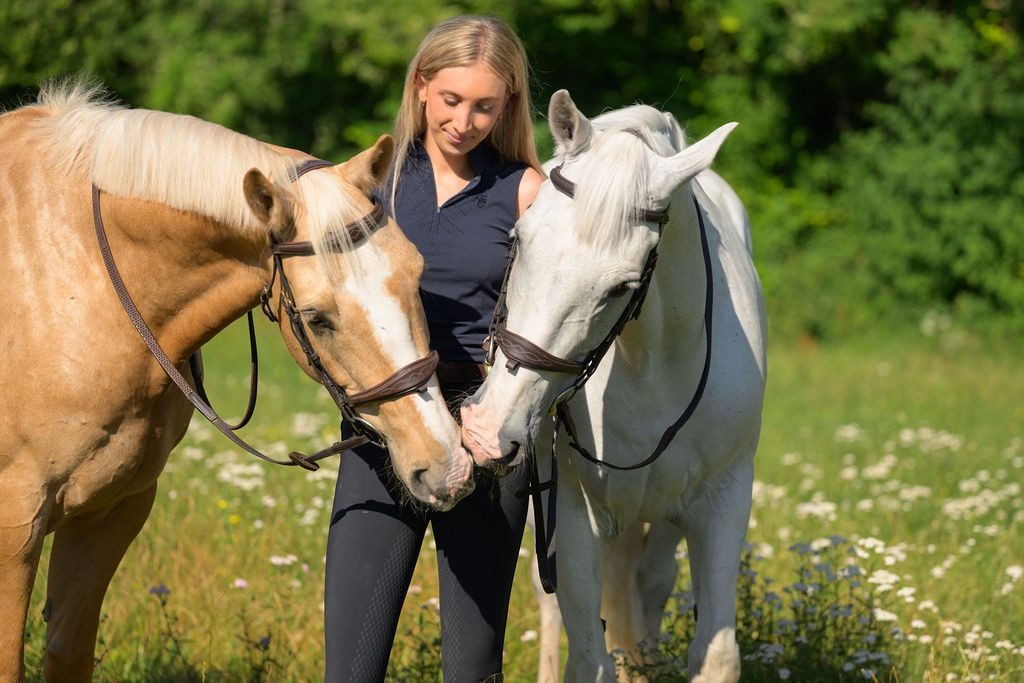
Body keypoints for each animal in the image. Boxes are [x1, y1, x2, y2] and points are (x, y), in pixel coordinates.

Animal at [0, 81, 473, 681]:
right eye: (317, 318)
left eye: (416, 273)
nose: (447, 464)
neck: (74, 282)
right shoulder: (15, 525)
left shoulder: (110, 512)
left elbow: (68, 651)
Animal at [461, 90, 766, 682]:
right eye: (517, 239)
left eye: (622, 287)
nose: (487, 430)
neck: (653, 365)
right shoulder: (575, 517)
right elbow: (588, 655)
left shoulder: (723, 504)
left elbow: (716, 652)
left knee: (650, 583)